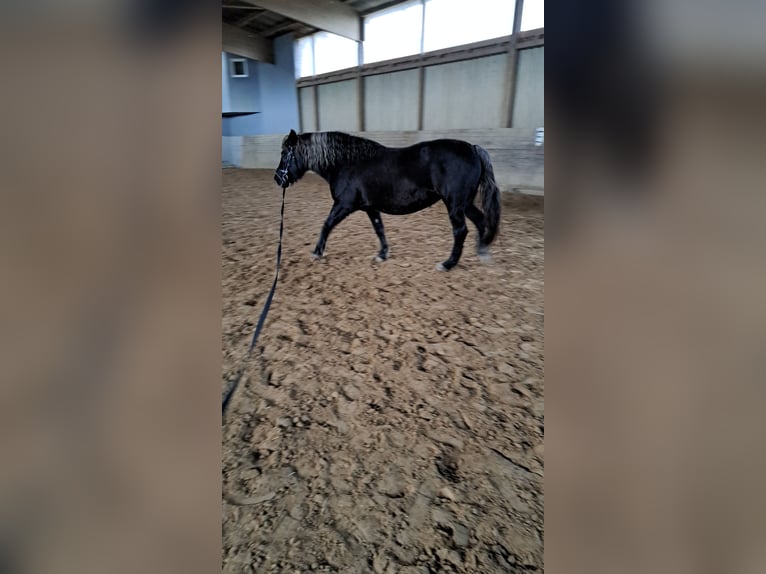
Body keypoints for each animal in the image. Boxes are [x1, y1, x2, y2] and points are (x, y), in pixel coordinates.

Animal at [276, 130, 504, 270]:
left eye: (285, 152)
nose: (278, 178)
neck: (346, 164)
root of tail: (473, 148)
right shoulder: (370, 207)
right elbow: (379, 229)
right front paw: (382, 254)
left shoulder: (344, 205)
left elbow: (327, 225)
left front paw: (317, 252)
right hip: (464, 203)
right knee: (481, 221)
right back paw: (482, 251)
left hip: (455, 204)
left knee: (460, 231)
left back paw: (448, 264)